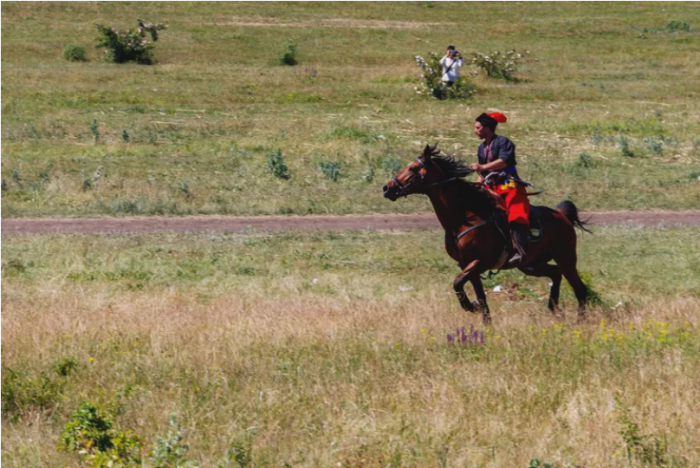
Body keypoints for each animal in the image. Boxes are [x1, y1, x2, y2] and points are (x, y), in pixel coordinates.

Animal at [382, 144, 592, 324]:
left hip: (565, 258)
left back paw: (579, 321)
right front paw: (485, 323)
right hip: (532, 264)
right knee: (555, 274)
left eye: (413, 168)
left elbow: (457, 283)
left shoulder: (479, 262)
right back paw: (554, 308)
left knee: (579, 288)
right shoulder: (467, 265)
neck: (465, 217)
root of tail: (561, 215)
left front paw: (470, 307)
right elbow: (480, 296)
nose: (387, 188)